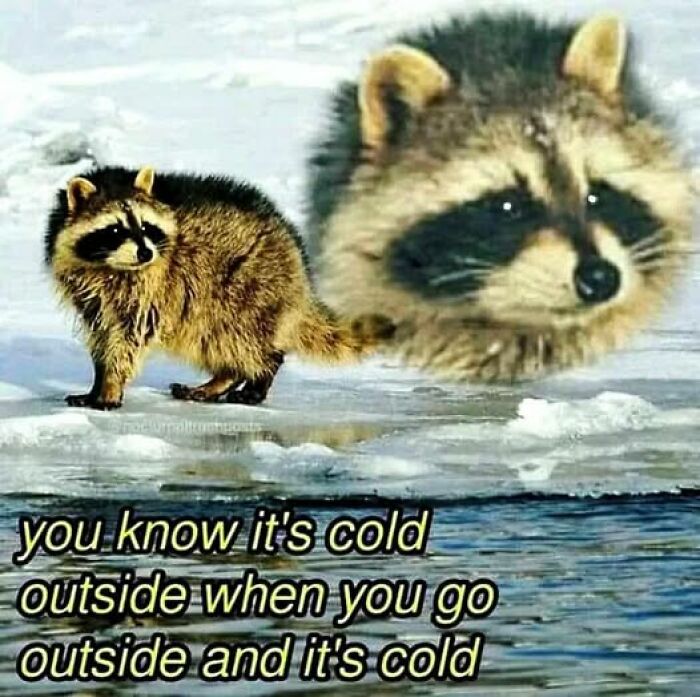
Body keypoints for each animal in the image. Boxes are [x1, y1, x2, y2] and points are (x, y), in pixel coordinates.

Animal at [45, 166, 391, 410]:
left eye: (146, 227)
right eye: (115, 229)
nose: (145, 253)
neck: (109, 266)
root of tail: (296, 256)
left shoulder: (151, 285)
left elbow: (129, 336)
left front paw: (110, 386)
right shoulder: (89, 289)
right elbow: (102, 333)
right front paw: (98, 381)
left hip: (247, 285)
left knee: (239, 338)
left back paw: (258, 375)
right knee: (211, 339)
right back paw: (223, 379)